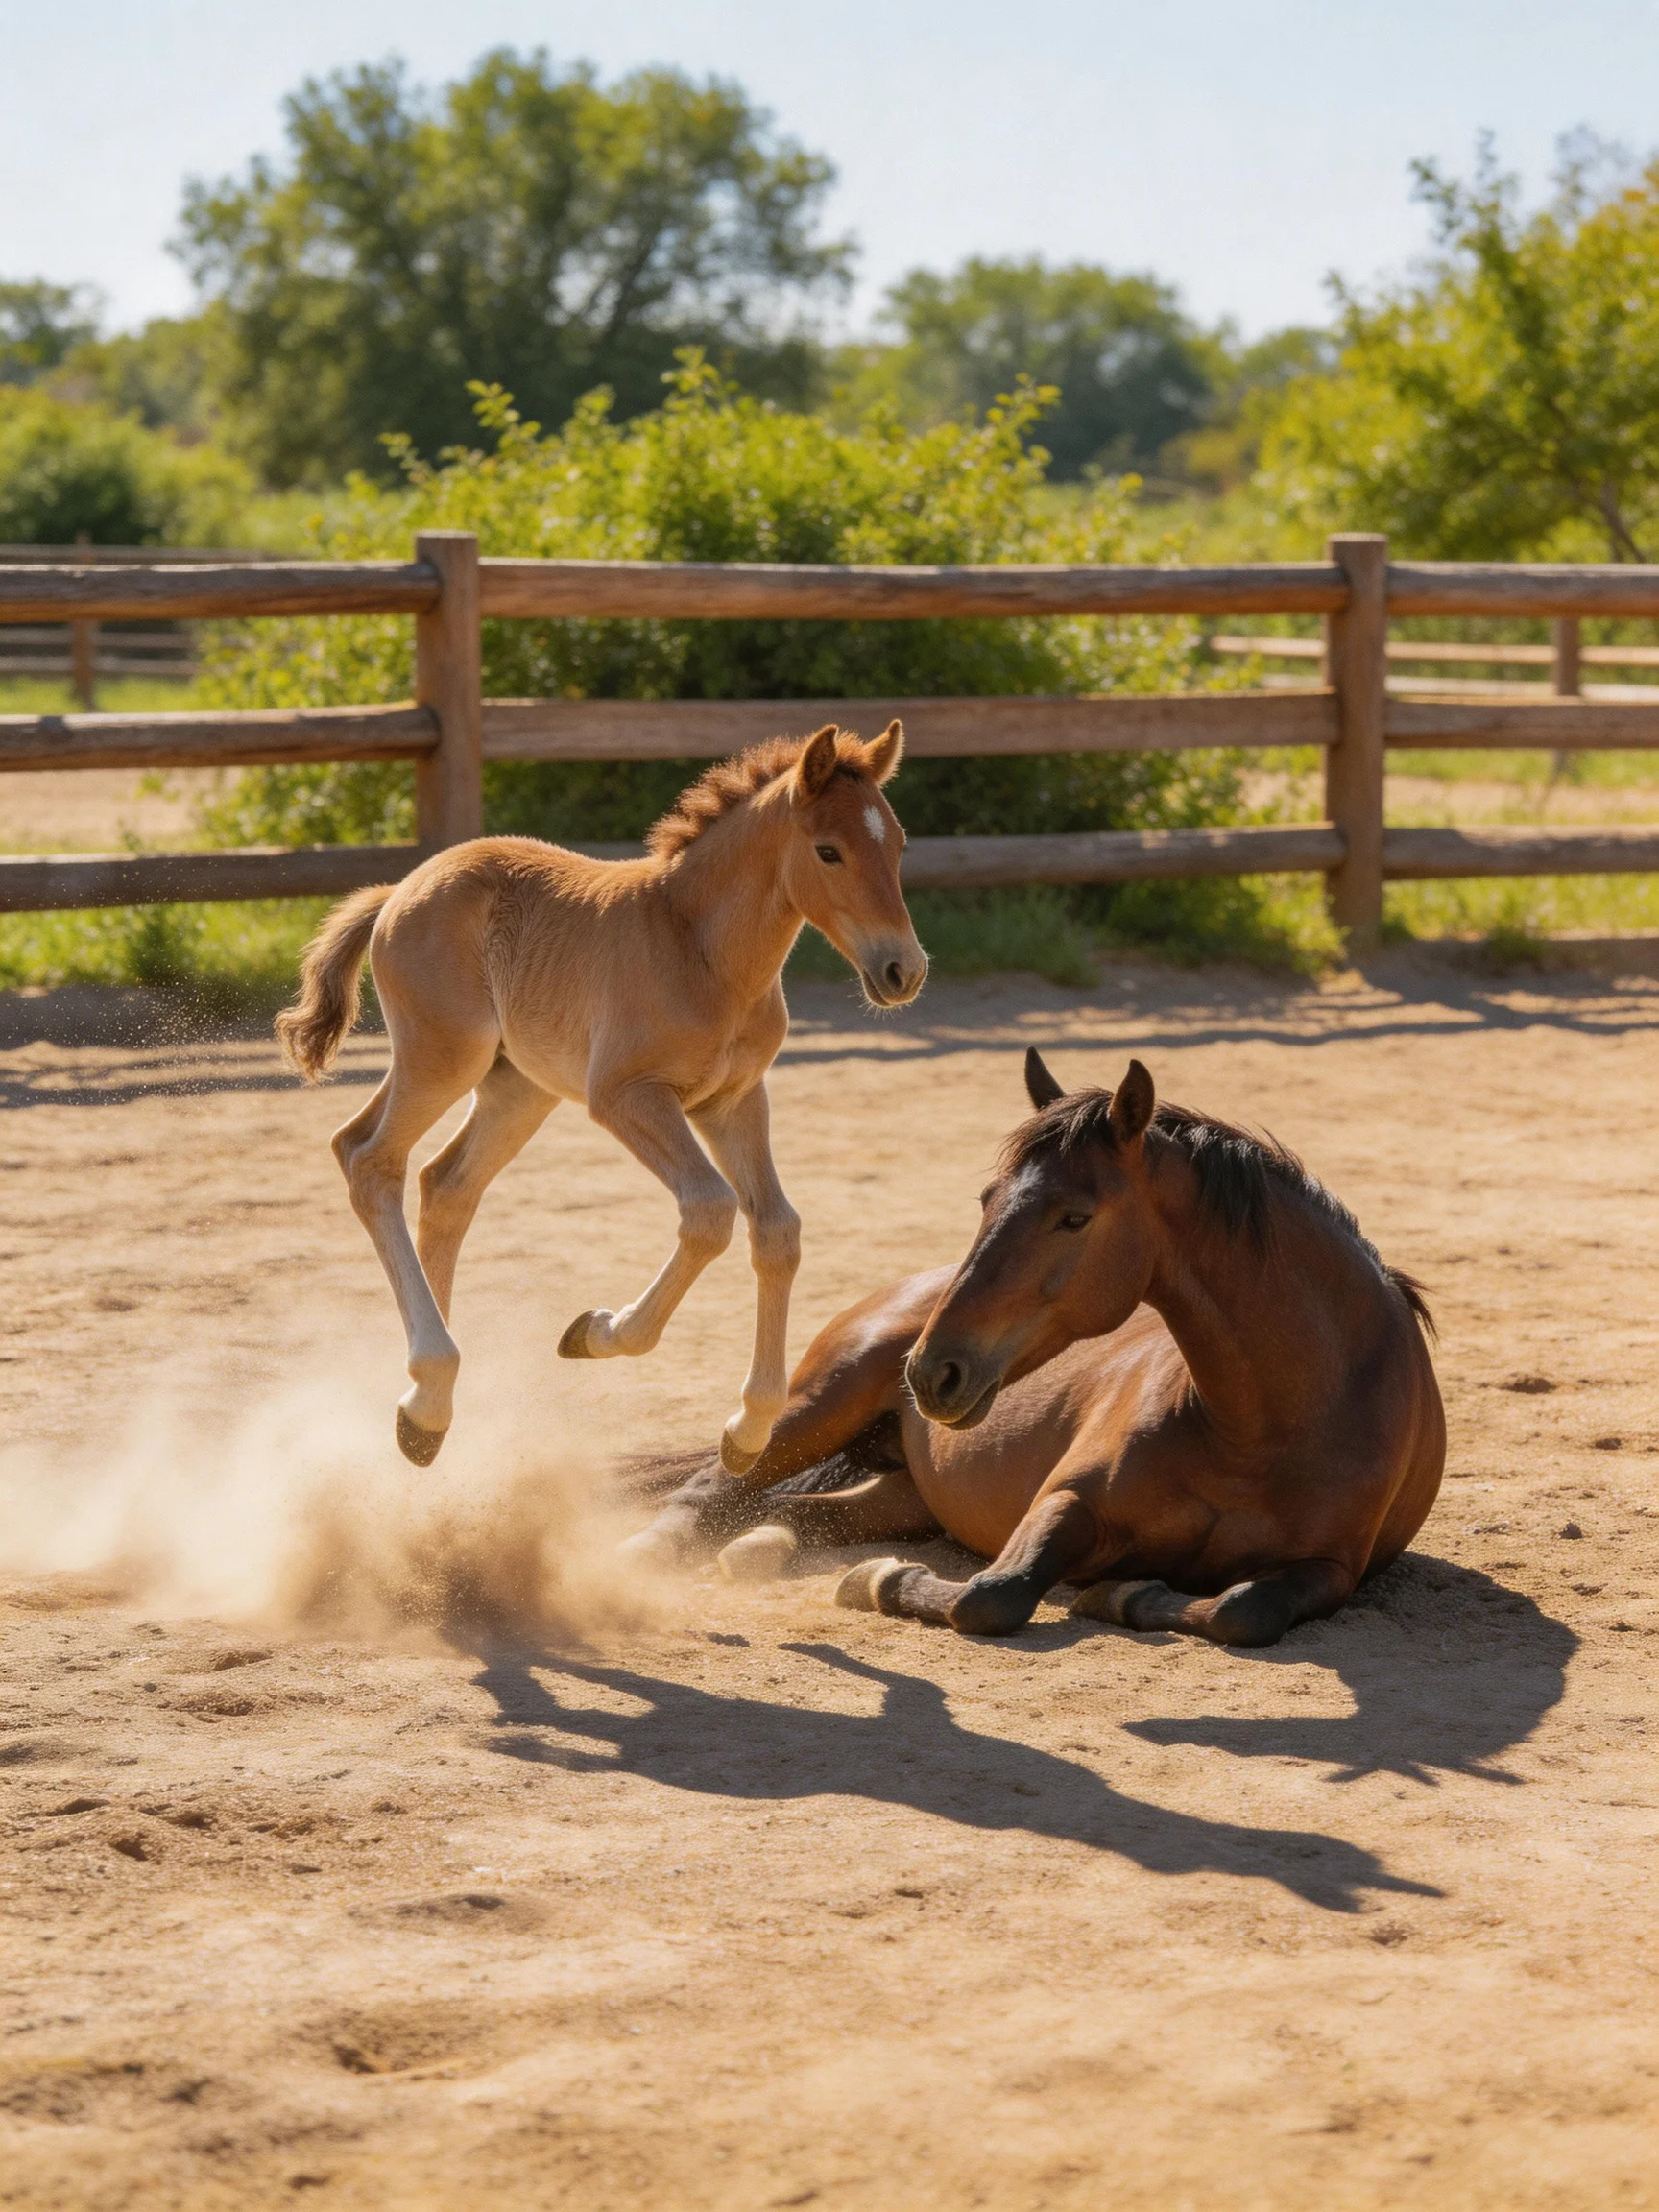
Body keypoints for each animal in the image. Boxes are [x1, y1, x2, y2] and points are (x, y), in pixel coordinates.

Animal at [275, 721, 927, 1472]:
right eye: (829, 850)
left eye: (898, 843)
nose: (904, 970)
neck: (701, 950)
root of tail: (400, 889)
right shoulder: (624, 1097)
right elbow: (710, 1211)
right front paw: (596, 1331)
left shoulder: (734, 1102)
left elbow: (777, 1231)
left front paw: (747, 1430)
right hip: (444, 1058)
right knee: (368, 1158)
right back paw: (430, 1375)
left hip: (516, 1086)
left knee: (443, 1183)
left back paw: (424, 1406)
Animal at [629, 1048, 1445, 1648]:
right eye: (988, 1201)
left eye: (1074, 1217)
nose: (931, 1371)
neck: (1261, 1426)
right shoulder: (1063, 1501)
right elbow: (990, 1598)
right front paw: (880, 1582)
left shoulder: (1330, 1569)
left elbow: (1245, 1611)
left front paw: (1127, 1593)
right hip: (816, 1406)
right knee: (707, 1490)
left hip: (907, 1495)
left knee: (793, 1510)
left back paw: (759, 1547)